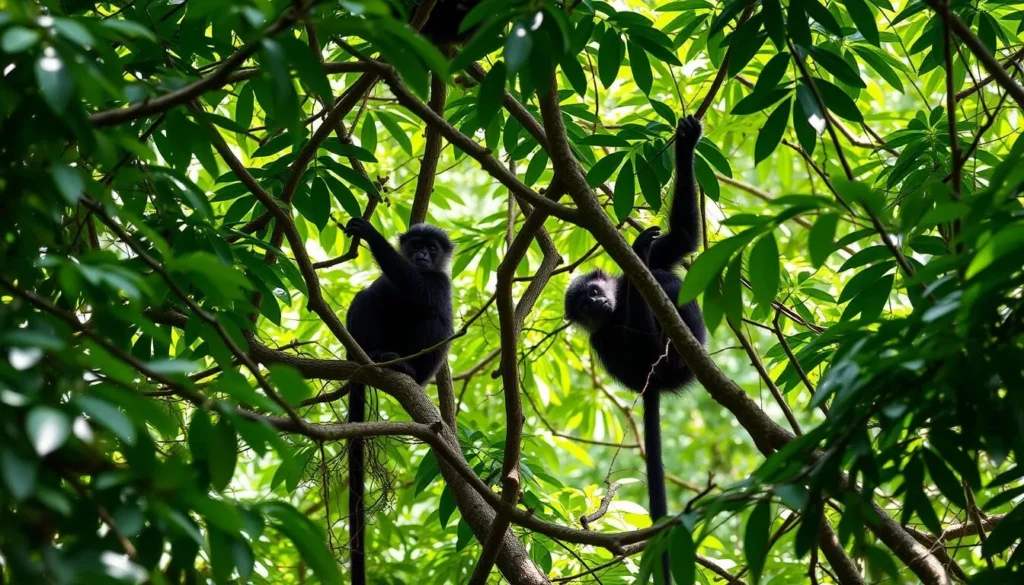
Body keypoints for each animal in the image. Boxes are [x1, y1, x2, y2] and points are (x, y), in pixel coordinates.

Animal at [343, 218, 454, 585]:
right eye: (417, 245)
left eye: (432, 248)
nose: (422, 255)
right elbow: (379, 293)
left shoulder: (441, 280)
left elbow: (425, 295)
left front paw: (370, 233)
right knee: (372, 296)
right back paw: (377, 355)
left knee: (431, 311)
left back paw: (403, 367)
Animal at [564, 115, 707, 584]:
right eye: (582, 308)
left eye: (592, 293)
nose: (596, 305)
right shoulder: (601, 339)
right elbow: (629, 357)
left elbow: (680, 240)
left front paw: (685, 143)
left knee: (667, 277)